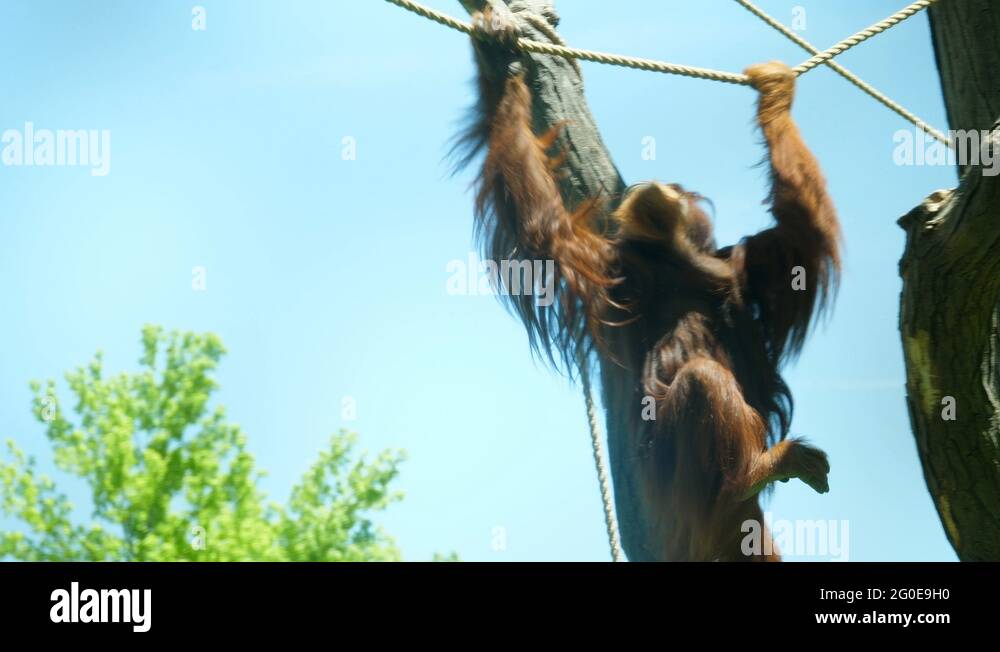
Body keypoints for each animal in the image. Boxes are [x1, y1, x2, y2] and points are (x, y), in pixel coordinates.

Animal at [457, 6, 839, 561]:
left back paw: (753, 472)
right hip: (680, 487)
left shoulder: (752, 269)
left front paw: (775, 93)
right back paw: (754, 473)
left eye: (677, 189)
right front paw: (496, 54)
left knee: (701, 380)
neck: (679, 266)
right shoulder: (607, 270)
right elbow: (539, 226)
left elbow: (803, 228)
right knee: (701, 380)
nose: (654, 185)